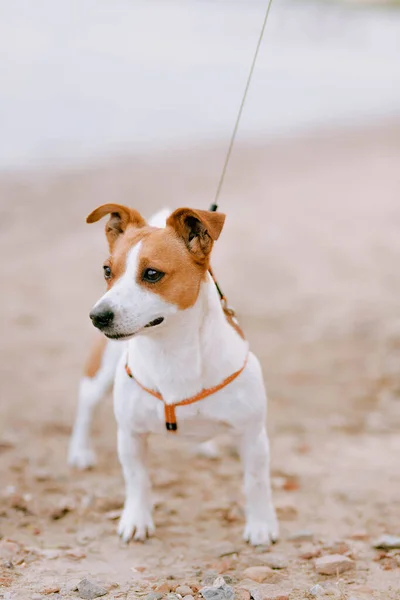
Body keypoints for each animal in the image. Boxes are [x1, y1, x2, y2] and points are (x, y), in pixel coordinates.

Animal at [68, 204, 278, 548]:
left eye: (152, 274)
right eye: (107, 271)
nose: (97, 316)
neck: (171, 352)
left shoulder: (252, 435)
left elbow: (256, 482)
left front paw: (261, 525)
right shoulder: (131, 435)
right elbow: (137, 480)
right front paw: (136, 521)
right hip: (99, 376)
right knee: (86, 403)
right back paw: (79, 451)